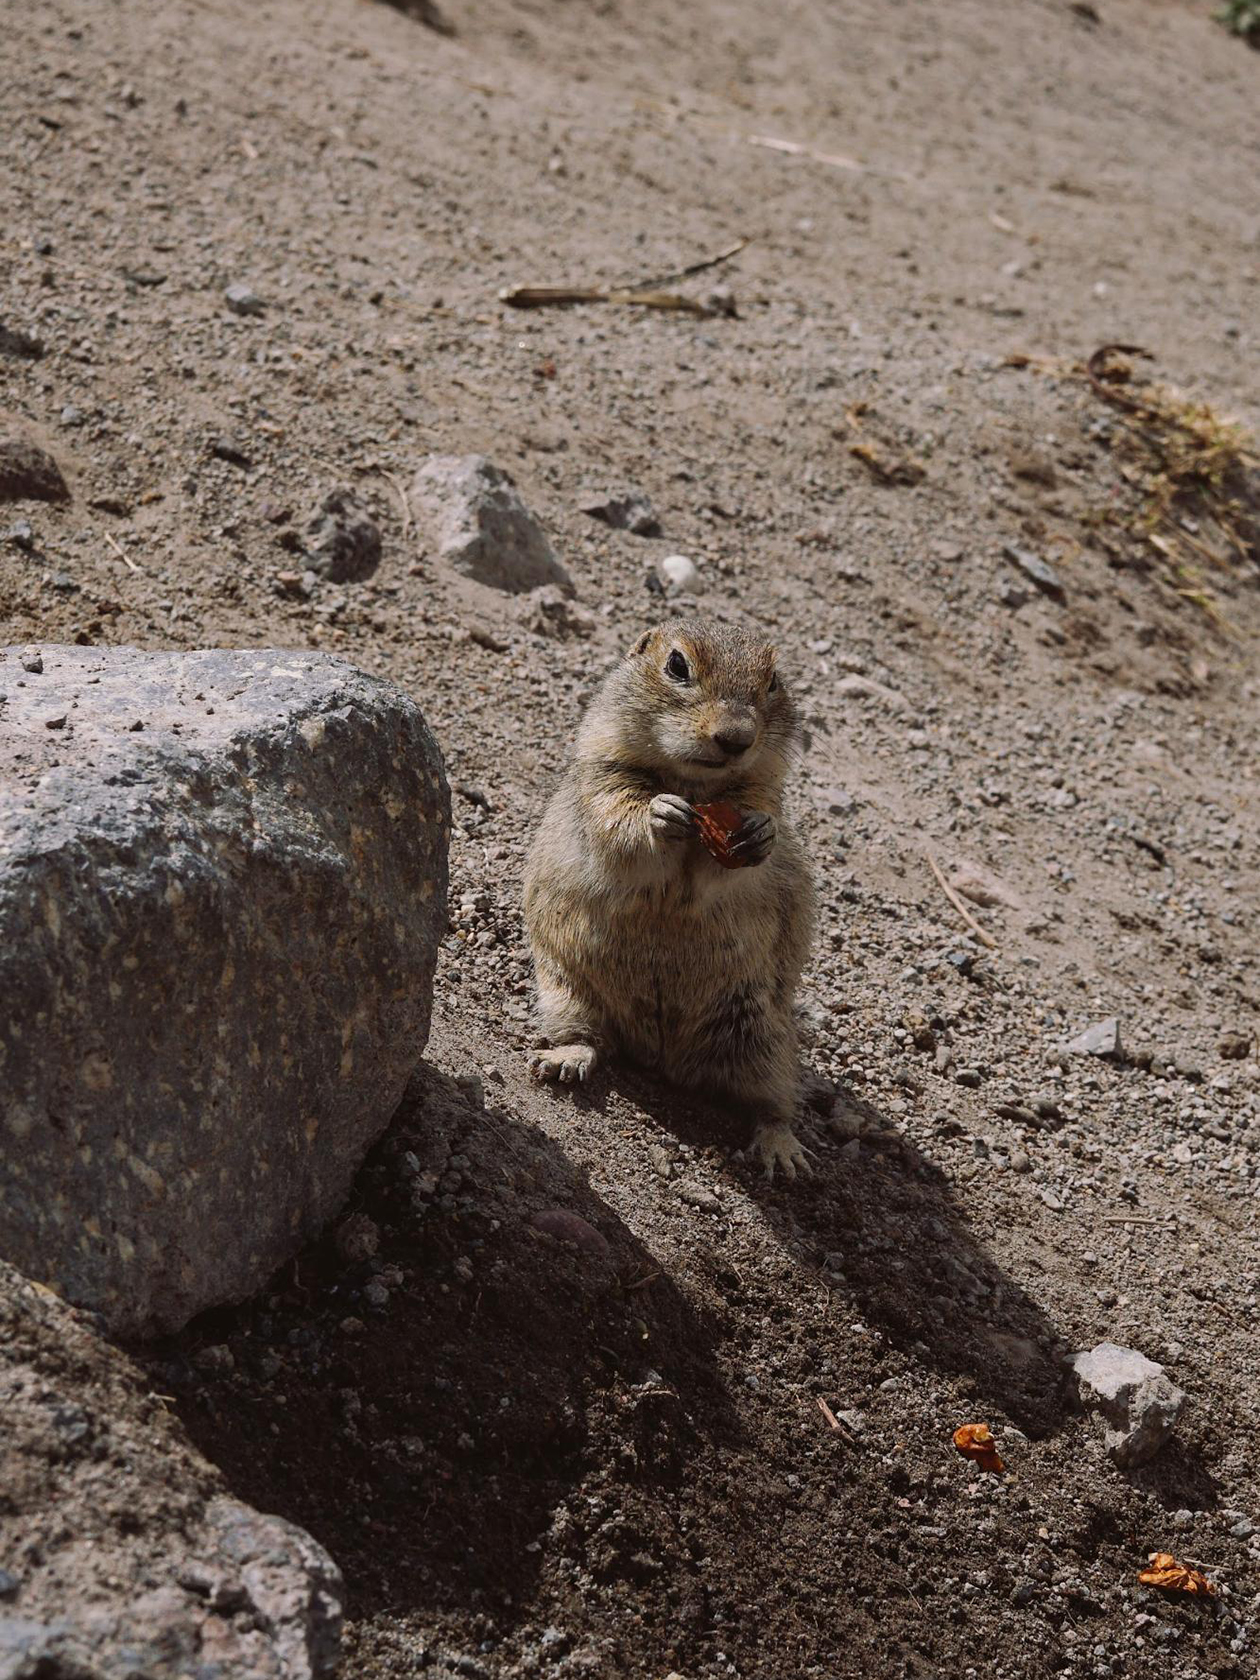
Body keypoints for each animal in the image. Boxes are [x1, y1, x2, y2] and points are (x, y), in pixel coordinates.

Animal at [524, 618, 813, 1182]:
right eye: (677, 665)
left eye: (773, 682)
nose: (736, 738)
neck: (697, 787)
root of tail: (663, 1058)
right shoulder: (604, 779)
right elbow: (619, 822)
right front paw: (660, 815)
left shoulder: (760, 790)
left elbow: (741, 851)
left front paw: (759, 836)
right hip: (566, 991)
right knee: (592, 1038)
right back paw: (564, 1059)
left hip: (764, 1037)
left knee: (773, 1103)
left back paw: (782, 1150)